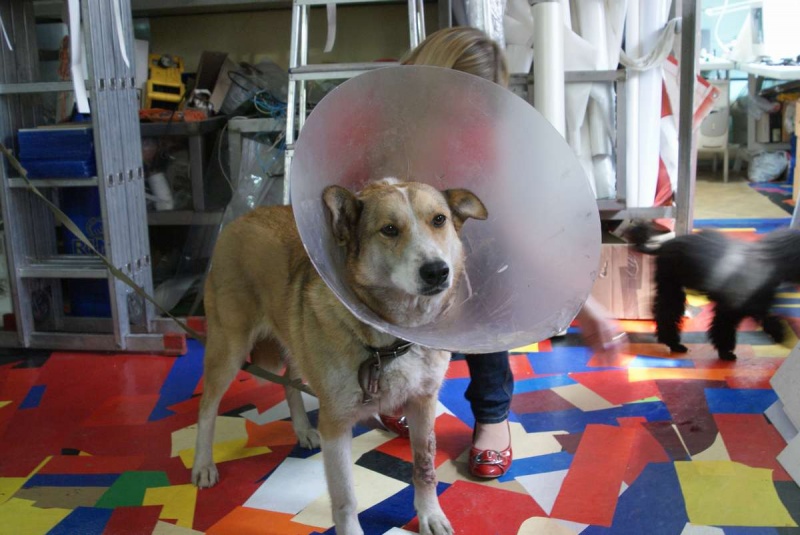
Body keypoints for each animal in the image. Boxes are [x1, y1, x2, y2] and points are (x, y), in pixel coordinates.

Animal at [192, 177, 488, 535]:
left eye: (439, 220)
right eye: (389, 229)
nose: (436, 272)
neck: (391, 343)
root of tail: (241, 218)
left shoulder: (422, 403)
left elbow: (425, 469)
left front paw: (430, 515)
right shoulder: (336, 423)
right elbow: (346, 498)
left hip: (293, 341)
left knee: (289, 381)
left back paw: (303, 430)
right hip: (228, 350)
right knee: (207, 407)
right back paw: (203, 464)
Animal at [627, 222, 800, 361]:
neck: (768, 257)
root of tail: (663, 246)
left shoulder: (746, 305)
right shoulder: (731, 309)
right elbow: (725, 330)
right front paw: (726, 353)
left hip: (672, 287)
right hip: (671, 285)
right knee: (666, 314)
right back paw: (673, 343)